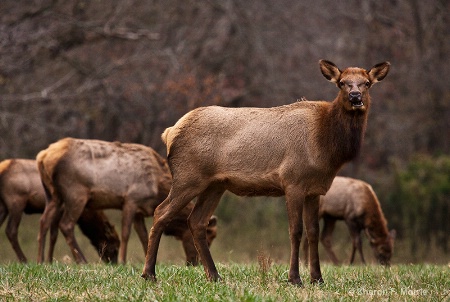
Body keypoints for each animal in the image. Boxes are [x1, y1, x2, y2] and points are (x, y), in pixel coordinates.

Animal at [37, 138, 216, 266]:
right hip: (76, 193)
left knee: (45, 221)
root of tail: (42, 157)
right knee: (66, 225)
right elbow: (126, 233)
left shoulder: (139, 212)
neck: (157, 188)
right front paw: (123, 261)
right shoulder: (131, 200)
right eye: (208, 238)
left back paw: (44, 260)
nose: (197, 263)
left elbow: (144, 235)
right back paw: (82, 260)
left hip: (53, 195)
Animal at [142, 59, 388, 286]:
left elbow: (313, 232)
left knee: (197, 221)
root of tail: (169, 132)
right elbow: (295, 230)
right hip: (188, 177)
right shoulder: (293, 181)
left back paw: (214, 275)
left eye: (367, 83)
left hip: (215, 185)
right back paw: (149, 274)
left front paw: (317, 278)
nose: (355, 97)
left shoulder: (315, 189)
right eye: (341, 83)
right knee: (161, 212)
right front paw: (294, 278)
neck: (326, 146)